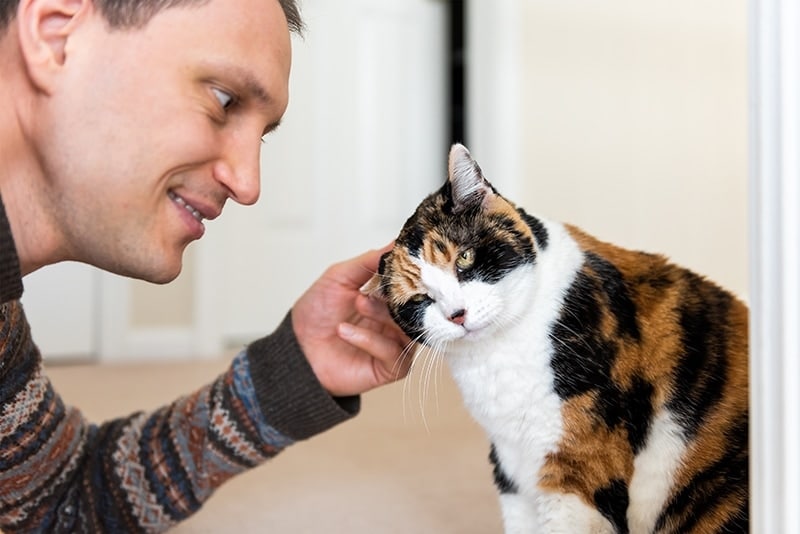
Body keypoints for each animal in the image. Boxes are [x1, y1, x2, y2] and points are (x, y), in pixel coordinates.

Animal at [362, 144, 752, 532]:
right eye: (420, 300)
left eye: (466, 258)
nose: (456, 314)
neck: (500, 352)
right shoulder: (512, 466)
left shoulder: (579, 461)